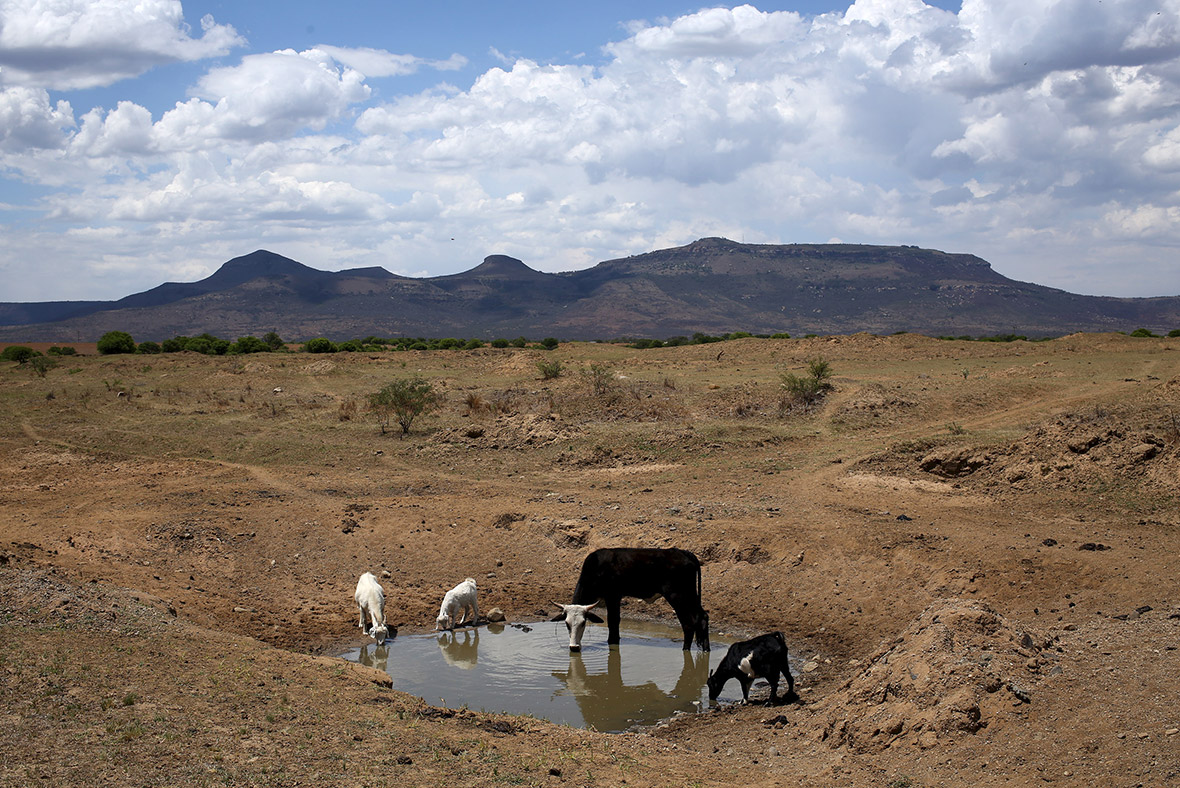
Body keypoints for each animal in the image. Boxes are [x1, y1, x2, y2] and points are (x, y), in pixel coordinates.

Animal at [552, 547, 707, 651]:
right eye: (566, 624)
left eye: (583, 623)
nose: (574, 647)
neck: (596, 568)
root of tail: (683, 552)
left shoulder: (613, 596)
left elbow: (613, 622)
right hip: (690, 596)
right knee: (702, 617)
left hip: (678, 596)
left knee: (688, 624)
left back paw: (685, 650)